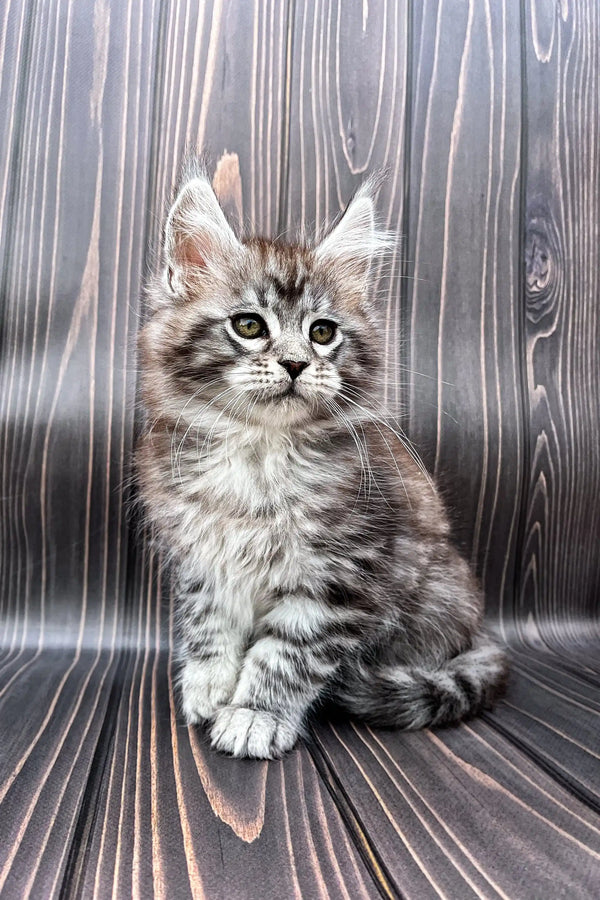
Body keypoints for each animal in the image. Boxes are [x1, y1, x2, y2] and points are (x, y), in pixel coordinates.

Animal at [138, 163, 508, 760]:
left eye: (322, 332)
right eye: (249, 326)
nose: (294, 364)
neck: (258, 451)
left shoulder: (341, 575)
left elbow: (286, 654)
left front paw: (255, 715)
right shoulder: (201, 558)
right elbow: (208, 625)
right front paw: (208, 686)